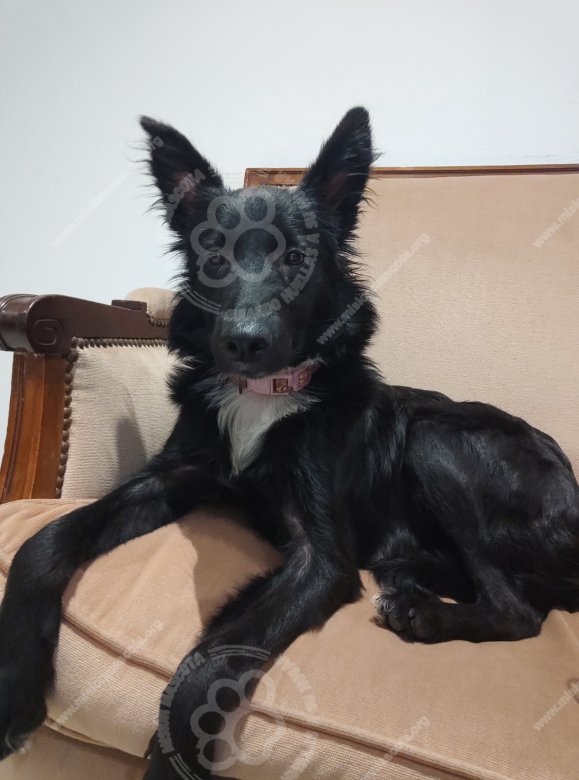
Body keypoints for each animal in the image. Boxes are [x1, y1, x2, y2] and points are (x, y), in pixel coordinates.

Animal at [0, 107, 578, 778]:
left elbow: (214, 660)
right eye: (214, 257)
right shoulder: (172, 475)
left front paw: (172, 756)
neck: (264, 393)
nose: (244, 343)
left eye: (297, 257)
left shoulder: (321, 558)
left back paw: (423, 612)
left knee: (518, 609)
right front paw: (16, 689)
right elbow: (44, 541)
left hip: (436, 440)